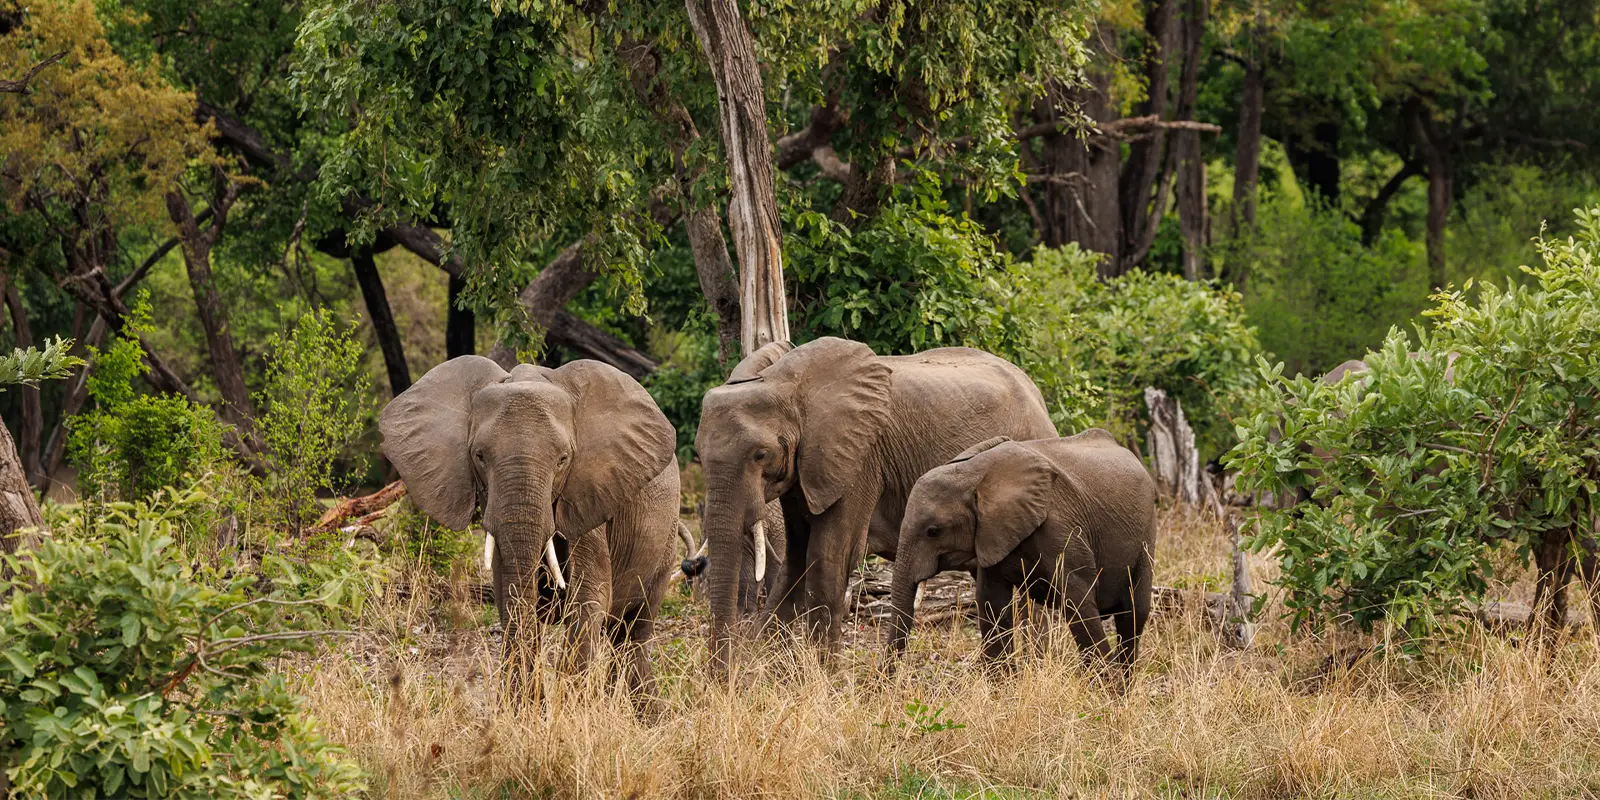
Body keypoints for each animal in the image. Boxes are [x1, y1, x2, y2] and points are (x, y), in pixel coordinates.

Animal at [379, 356, 680, 699]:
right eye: (479, 456)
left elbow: (590, 596)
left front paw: (568, 709)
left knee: (633, 632)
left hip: (666, 539)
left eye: (563, 459)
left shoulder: (591, 491)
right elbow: (510, 594)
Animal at [695, 336, 1057, 675]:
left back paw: (1037, 666)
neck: (785, 383)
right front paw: (767, 672)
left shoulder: (860, 460)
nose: (720, 679)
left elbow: (827, 560)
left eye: (760, 455)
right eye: (698, 454)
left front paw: (821, 677)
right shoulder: (806, 470)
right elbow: (796, 563)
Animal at [886, 431, 1157, 668]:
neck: (973, 473)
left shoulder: (1060, 529)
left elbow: (1077, 599)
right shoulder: (992, 535)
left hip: (1147, 535)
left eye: (933, 531)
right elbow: (991, 603)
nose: (886, 678)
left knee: (1133, 616)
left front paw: (1104, 686)